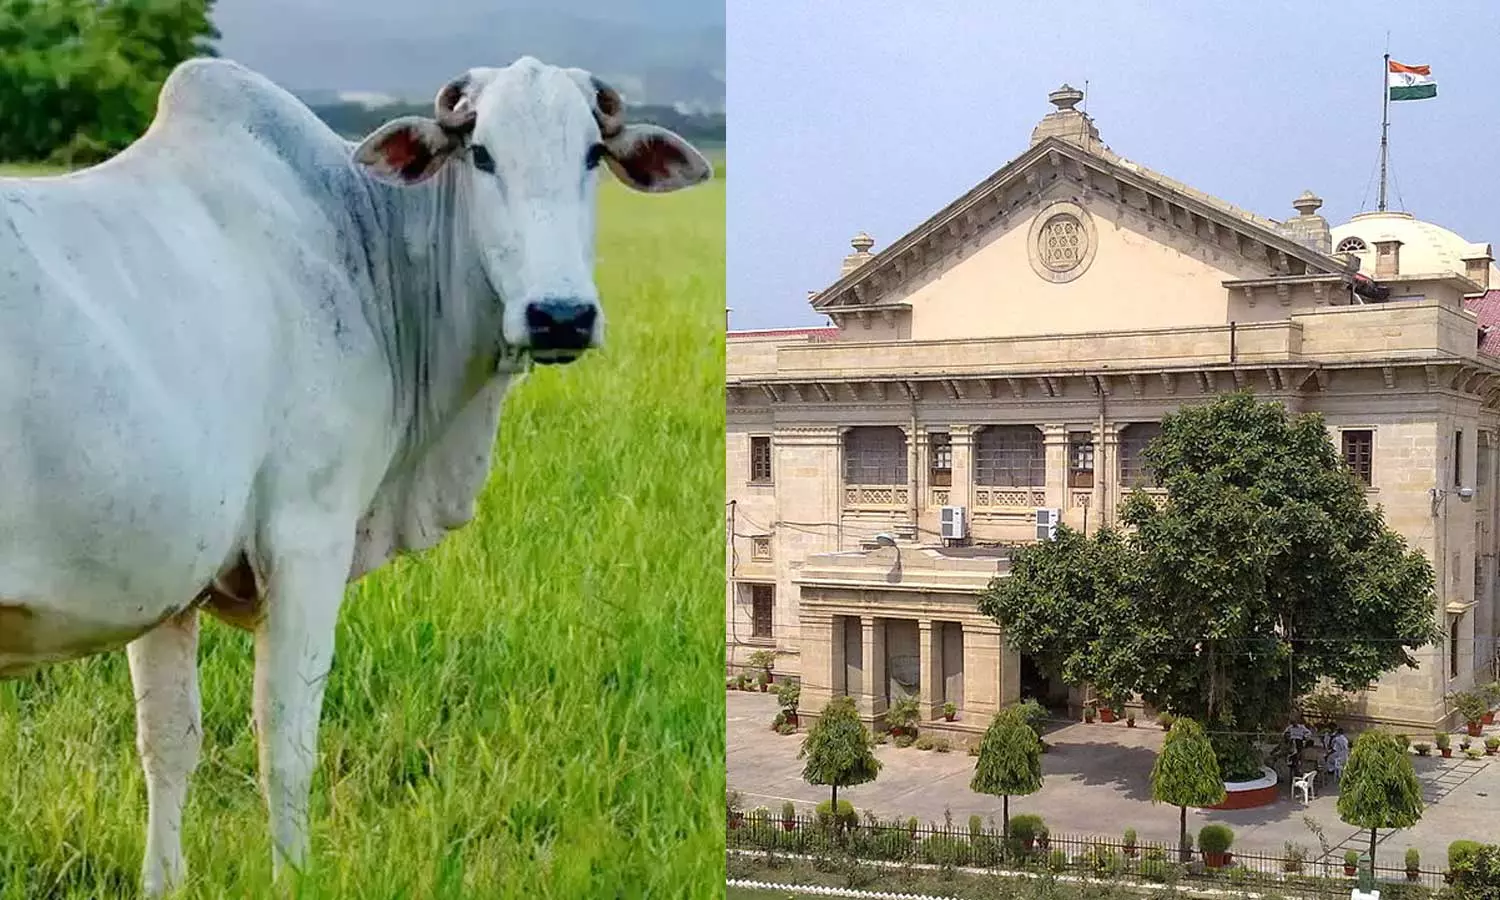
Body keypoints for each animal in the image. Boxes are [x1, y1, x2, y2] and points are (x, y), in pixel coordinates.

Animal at [0, 55, 711, 895]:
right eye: (481, 154)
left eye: (592, 155)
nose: (560, 315)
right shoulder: (307, 540)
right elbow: (286, 744)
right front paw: (291, 876)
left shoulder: (167, 580)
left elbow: (167, 745)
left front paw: (162, 882)